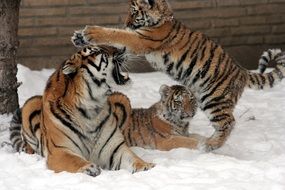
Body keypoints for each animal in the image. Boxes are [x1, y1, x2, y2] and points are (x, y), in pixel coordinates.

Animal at [9, 44, 153, 177]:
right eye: (98, 51)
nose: (123, 48)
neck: (91, 108)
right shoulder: (59, 150)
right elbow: (74, 160)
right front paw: (89, 167)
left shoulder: (114, 149)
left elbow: (133, 158)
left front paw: (146, 166)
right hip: (30, 103)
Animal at [71, 0, 285, 151]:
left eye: (134, 12)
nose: (127, 23)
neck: (163, 17)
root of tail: (241, 70)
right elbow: (116, 41)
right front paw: (79, 37)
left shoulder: (141, 40)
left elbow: (117, 34)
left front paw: (90, 32)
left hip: (214, 99)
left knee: (228, 123)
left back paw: (210, 144)